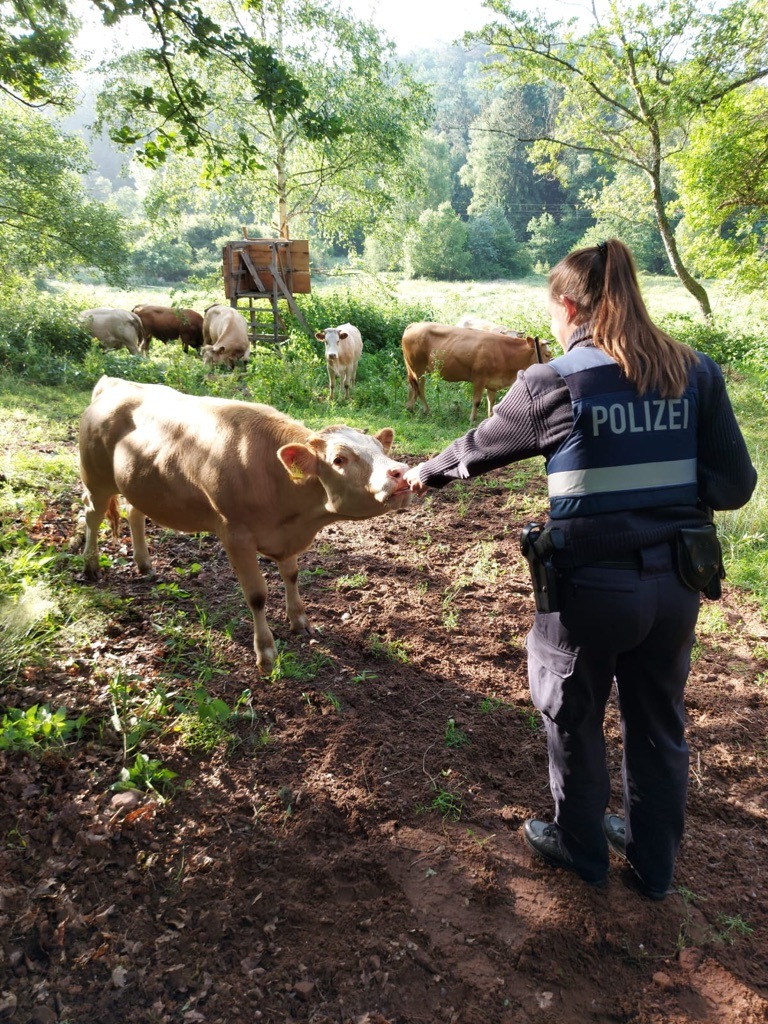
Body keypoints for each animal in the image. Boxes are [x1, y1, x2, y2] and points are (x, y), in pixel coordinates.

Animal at [76, 376, 415, 671]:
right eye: (339, 459)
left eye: (380, 449)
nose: (401, 472)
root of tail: (116, 384)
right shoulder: (234, 535)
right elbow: (257, 595)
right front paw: (266, 653)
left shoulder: (286, 536)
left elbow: (291, 575)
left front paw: (300, 622)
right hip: (96, 480)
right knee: (91, 515)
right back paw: (91, 566)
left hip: (139, 484)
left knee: (134, 514)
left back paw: (144, 563)